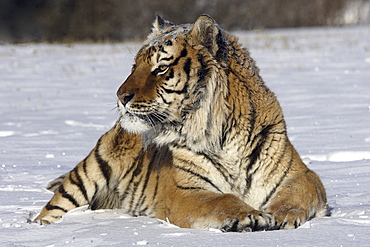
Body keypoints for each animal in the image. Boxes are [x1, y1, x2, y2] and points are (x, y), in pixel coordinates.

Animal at [34, 14, 330, 232]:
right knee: (50, 210)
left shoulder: (301, 175)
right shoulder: (186, 191)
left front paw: (281, 216)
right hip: (90, 169)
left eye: (161, 68)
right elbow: (222, 199)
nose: (120, 96)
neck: (224, 135)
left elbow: (294, 193)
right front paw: (251, 217)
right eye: (134, 66)